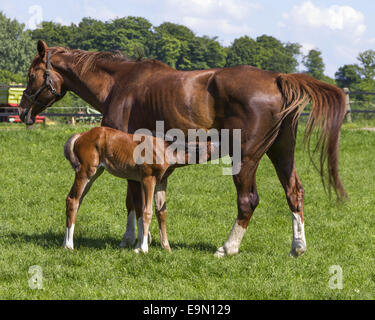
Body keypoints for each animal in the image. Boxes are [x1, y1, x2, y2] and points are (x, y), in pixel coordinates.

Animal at [18, 40, 346, 256]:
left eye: (31, 74)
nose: (22, 111)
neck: (118, 83)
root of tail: (278, 78)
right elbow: (143, 202)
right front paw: (145, 240)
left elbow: (133, 200)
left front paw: (132, 240)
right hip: (281, 151)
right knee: (294, 193)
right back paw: (297, 247)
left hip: (246, 157)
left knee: (248, 200)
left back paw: (228, 247)